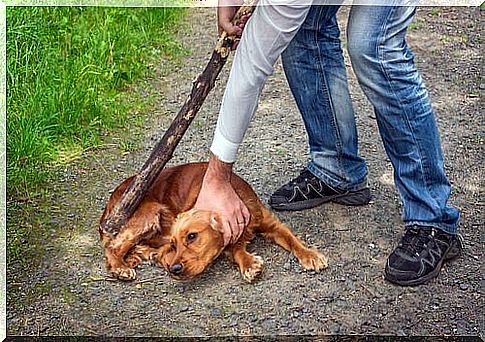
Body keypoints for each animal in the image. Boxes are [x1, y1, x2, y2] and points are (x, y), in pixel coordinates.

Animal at [99, 162, 328, 282]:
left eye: (192, 236)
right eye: (174, 244)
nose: (174, 269)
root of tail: (110, 202)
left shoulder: (271, 223)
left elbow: (293, 240)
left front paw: (310, 255)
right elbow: (237, 251)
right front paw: (249, 264)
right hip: (149, 212)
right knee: (113, 246)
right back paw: (121, 267)